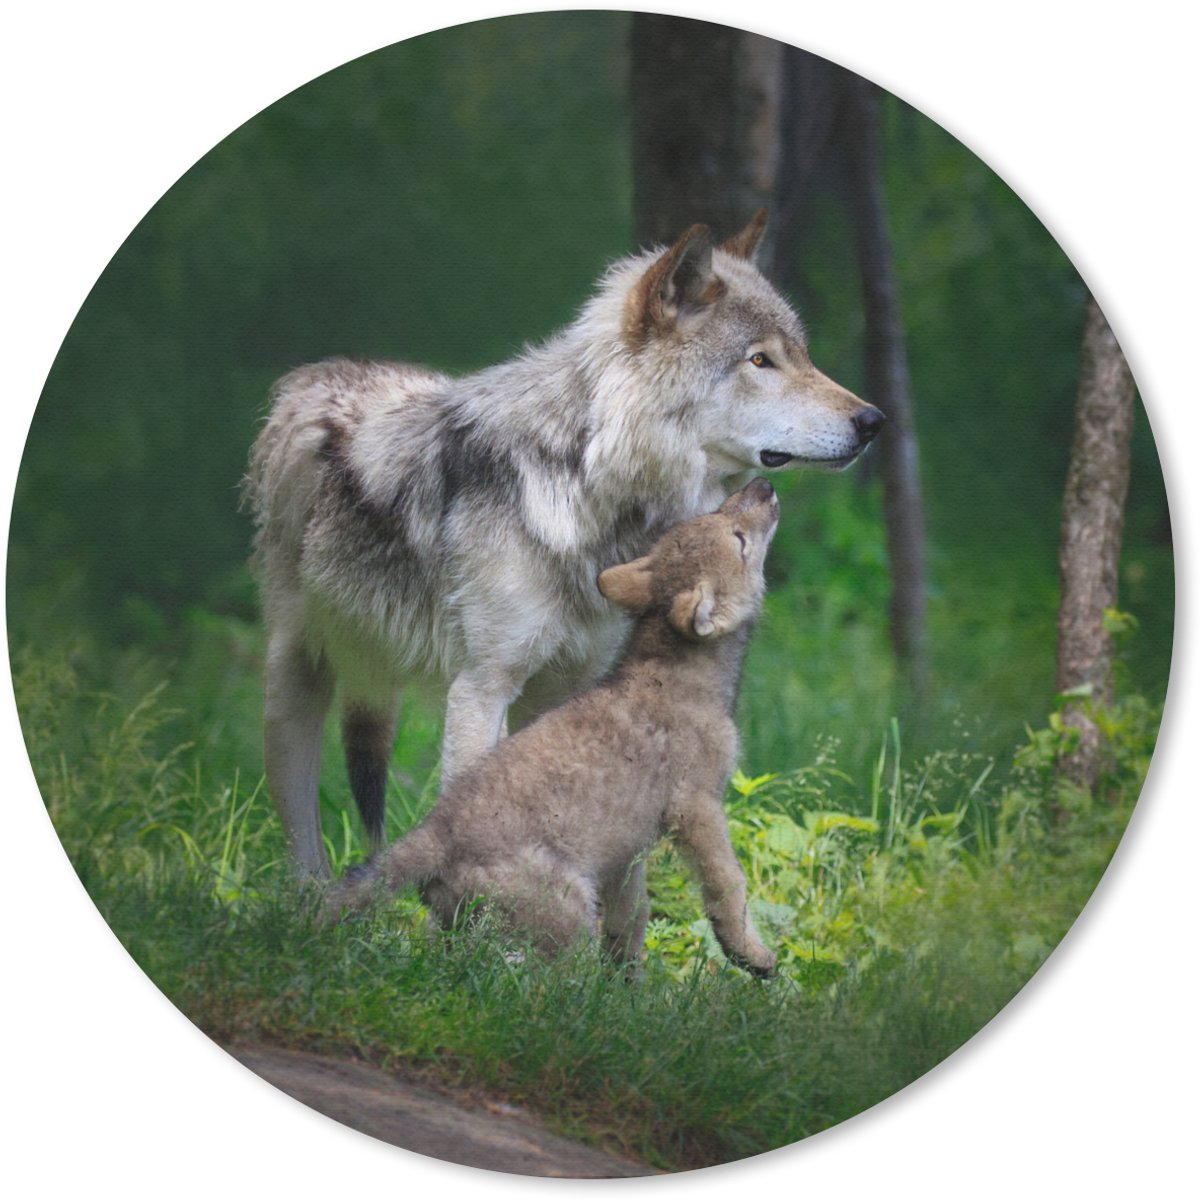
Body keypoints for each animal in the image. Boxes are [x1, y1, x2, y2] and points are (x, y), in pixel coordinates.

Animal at [245, 211, 883, 877]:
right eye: (759, 360)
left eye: (801, 355)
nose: (874, 422)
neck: (586, 484)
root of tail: (318, 374)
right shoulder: (481, 689)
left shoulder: (569, 688)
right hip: (294, 685)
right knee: (302, 832)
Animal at [322, 479, 783, 977]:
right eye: (738, 539)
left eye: (716, 515)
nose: (764, 486)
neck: (680, 672)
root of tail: (436, 831)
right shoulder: (697, 808)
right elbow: (727, 885)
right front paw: (752, 955)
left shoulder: (627, 850)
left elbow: (632, 916)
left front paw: (628, 984)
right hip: (569, 915)